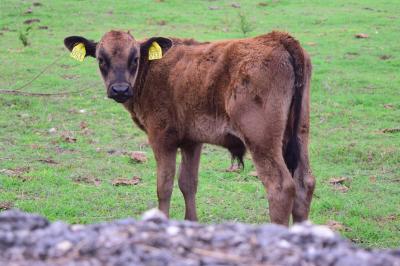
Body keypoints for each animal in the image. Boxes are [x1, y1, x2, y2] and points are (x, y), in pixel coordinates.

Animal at [65, 30, 316, 224]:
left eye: (134, 58)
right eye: (101, 59)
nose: (120, 89)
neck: (152, 69)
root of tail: (277, 38)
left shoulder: (161, 138)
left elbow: (164, 185)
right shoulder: (192, 140)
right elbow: (188, 183)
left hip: (262, 141)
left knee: (281, 187)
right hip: (300, 134)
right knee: (305, 183)